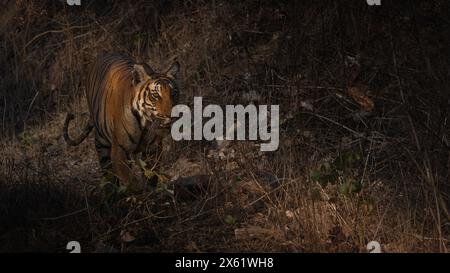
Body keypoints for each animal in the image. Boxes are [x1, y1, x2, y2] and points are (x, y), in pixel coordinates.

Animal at [63, 51, 179, 187]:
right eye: (155, 95)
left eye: (174, 93)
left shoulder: (153, 149)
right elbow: (130, 181)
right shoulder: (119, 150)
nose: (171, 116)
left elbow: (151, 178)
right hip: (102, 143)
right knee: (108, 172)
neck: (145, 124)